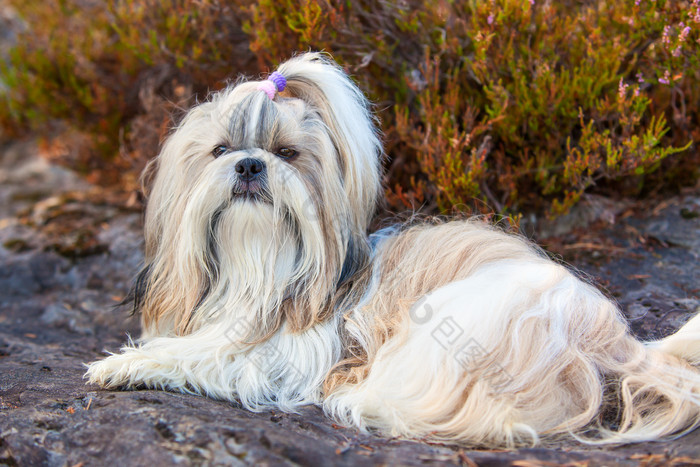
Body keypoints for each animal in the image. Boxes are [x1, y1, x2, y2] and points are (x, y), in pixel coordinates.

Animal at [87, 52, 700, 450]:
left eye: (287, 153)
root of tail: (611, 338)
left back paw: (365, 402)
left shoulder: (286, 355)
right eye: (221, 150)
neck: (259, 266)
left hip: (462, 316)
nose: (250, 165)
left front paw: (124, 364)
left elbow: (203, 353)